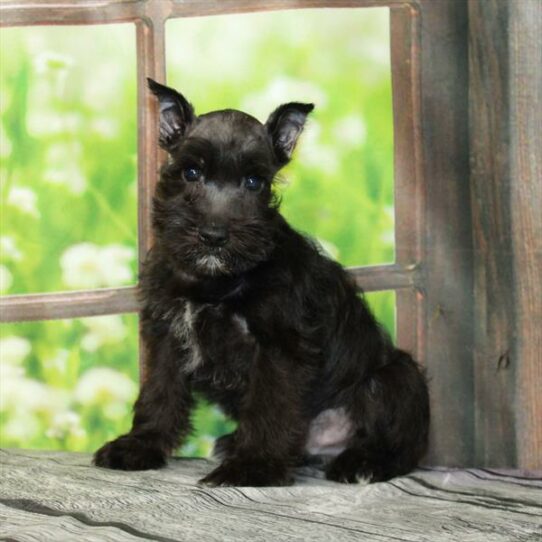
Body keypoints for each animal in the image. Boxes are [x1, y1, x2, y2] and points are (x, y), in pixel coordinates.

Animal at [94, 77, 434, 488]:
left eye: (254, 181)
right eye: (191, 172)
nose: (213, 236)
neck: (215, 280)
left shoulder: (279, 346)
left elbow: (269, 407)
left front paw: (252, 466)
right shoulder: (167, 335)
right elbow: (159, 393)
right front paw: (139, 446)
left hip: (395, 378)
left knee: (400, 446)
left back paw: (361, 463)